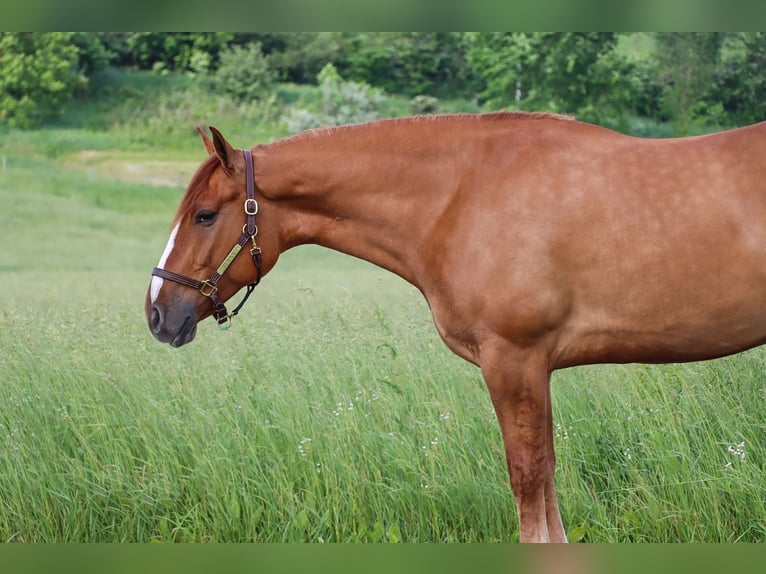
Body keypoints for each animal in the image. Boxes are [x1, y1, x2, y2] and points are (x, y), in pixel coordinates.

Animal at [147, 115, 766, 548]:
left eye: (205, 214)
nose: (157, 312)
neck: (463, 195)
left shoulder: (514, 361)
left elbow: (529, 481)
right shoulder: (530, 370)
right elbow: (546, 479)